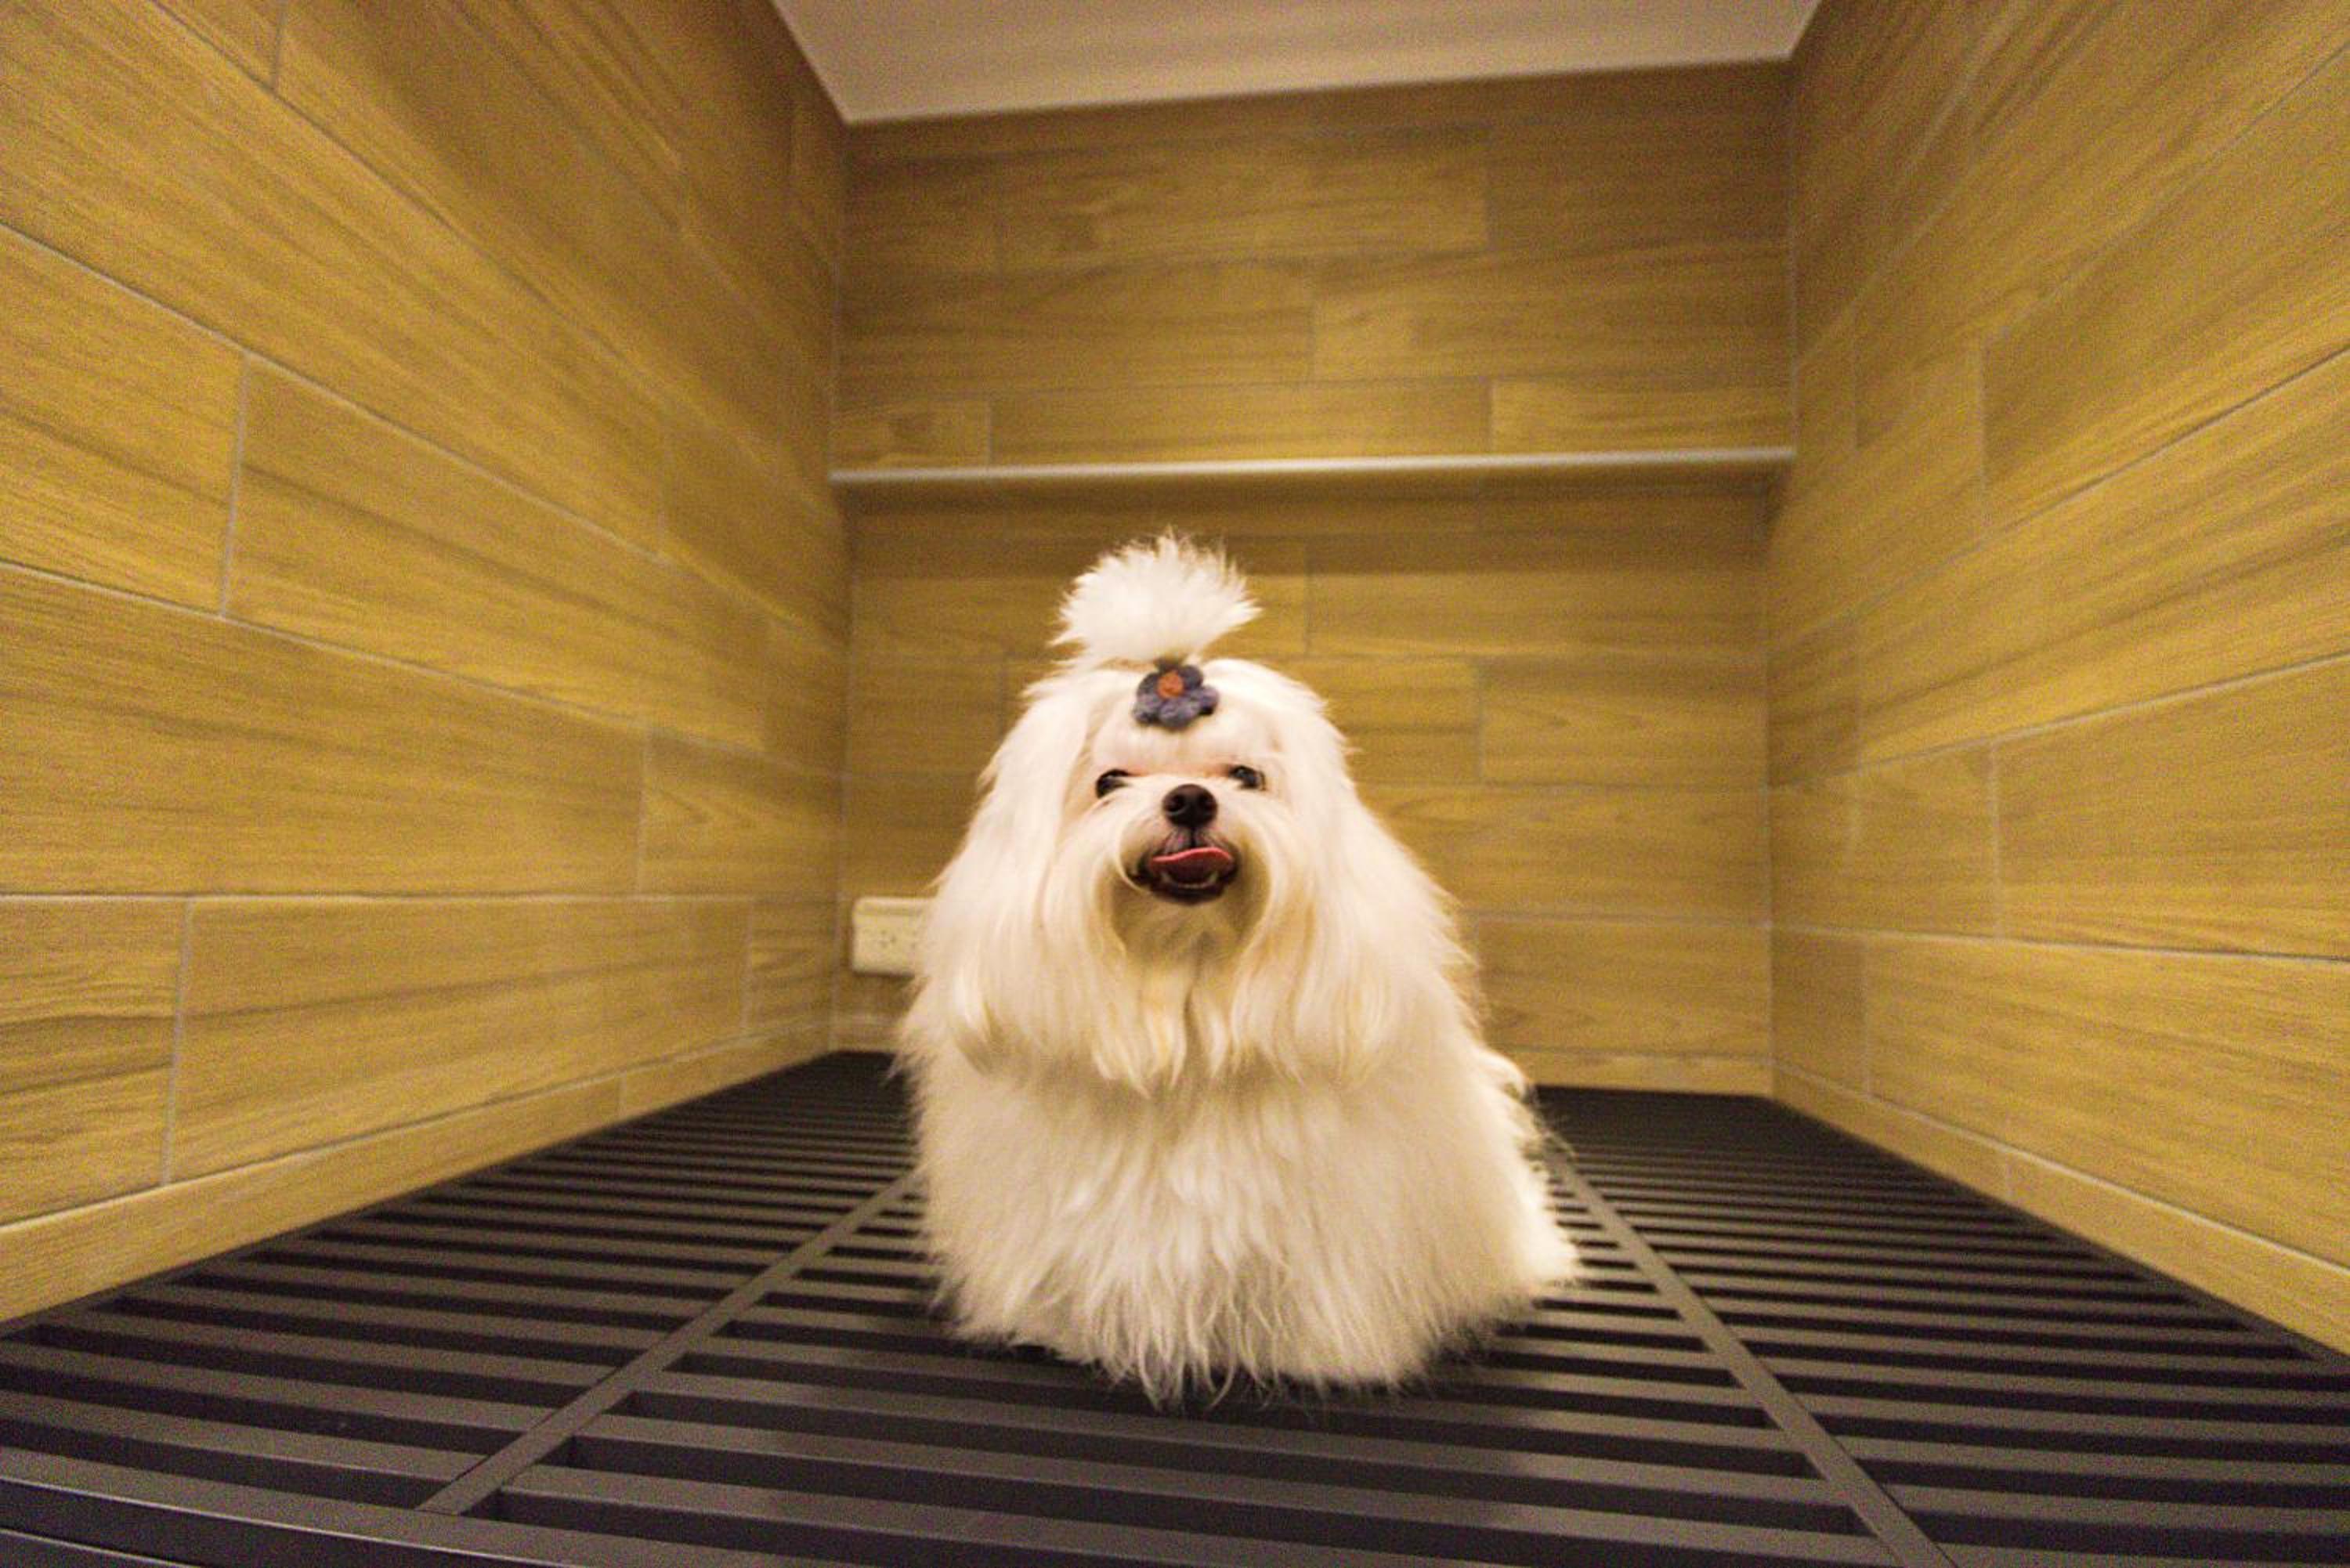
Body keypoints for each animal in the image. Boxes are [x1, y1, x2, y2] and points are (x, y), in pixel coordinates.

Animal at [901, 535, 1573, 1399]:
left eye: (1246, 777)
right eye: (1109, 782)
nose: (1190, 798)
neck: (1188, 986)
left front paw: (1308, 1355)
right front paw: (1072, 1332)